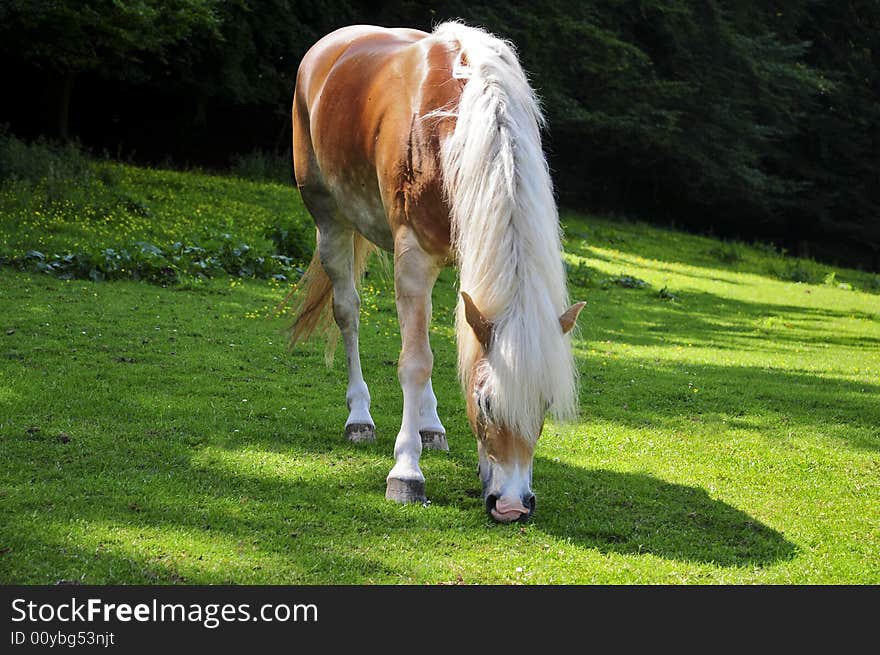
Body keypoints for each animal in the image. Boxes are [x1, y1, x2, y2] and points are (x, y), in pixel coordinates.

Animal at [286, 21, 584, 524]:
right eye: (484, 402)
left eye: (543, 403)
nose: (512, 507)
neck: (458, 125)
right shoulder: (413, 255)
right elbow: (415, 361)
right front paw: (406, 473)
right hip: (329, 219)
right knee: (348, 313)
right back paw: (360, 418)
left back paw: (431, 427)